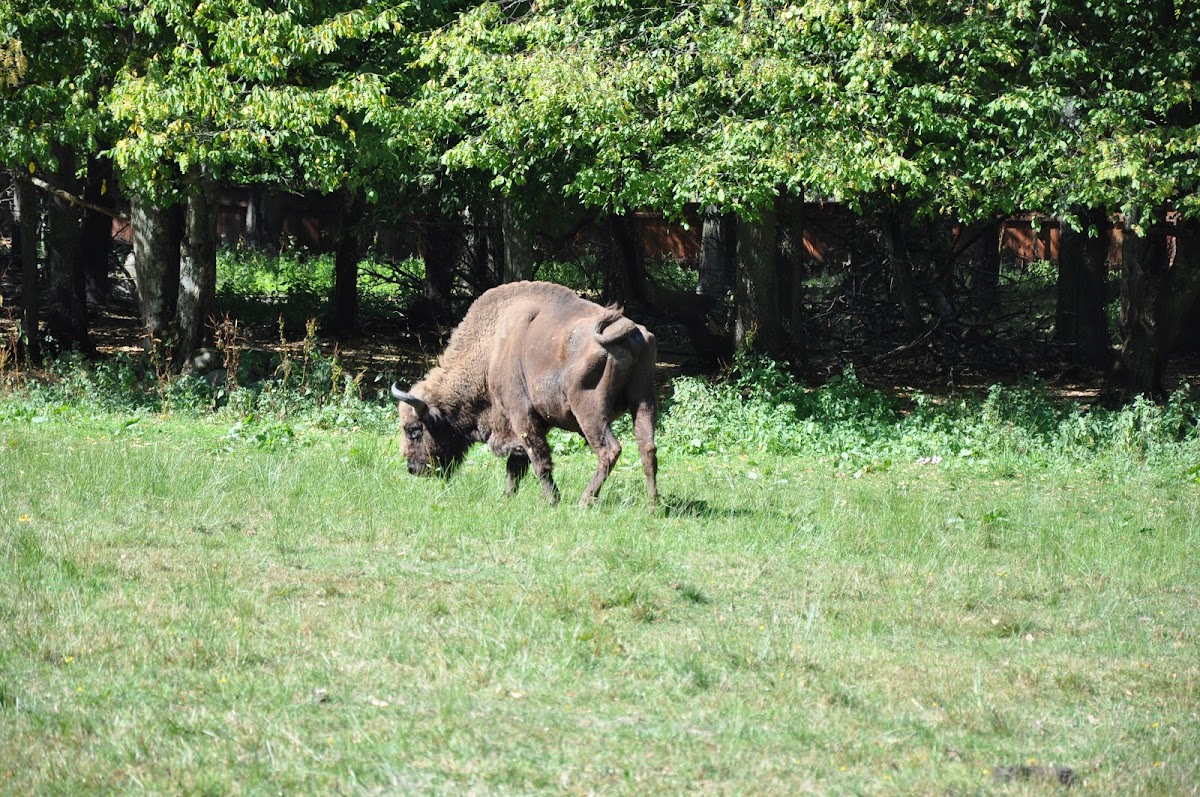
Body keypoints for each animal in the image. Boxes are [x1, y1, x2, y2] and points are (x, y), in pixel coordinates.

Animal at [391, 279, 657, 504]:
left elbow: (539, 460)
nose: (412, 469)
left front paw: (551, 501)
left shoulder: (521, 417)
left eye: (414, 429)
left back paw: (584, 501)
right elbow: (516, 465)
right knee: (648, 449)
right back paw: (653, 505)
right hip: (643, 402)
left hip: (590, 413)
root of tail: (629, 329)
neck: (492, 350)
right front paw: (507, 498)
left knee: (609, 450)